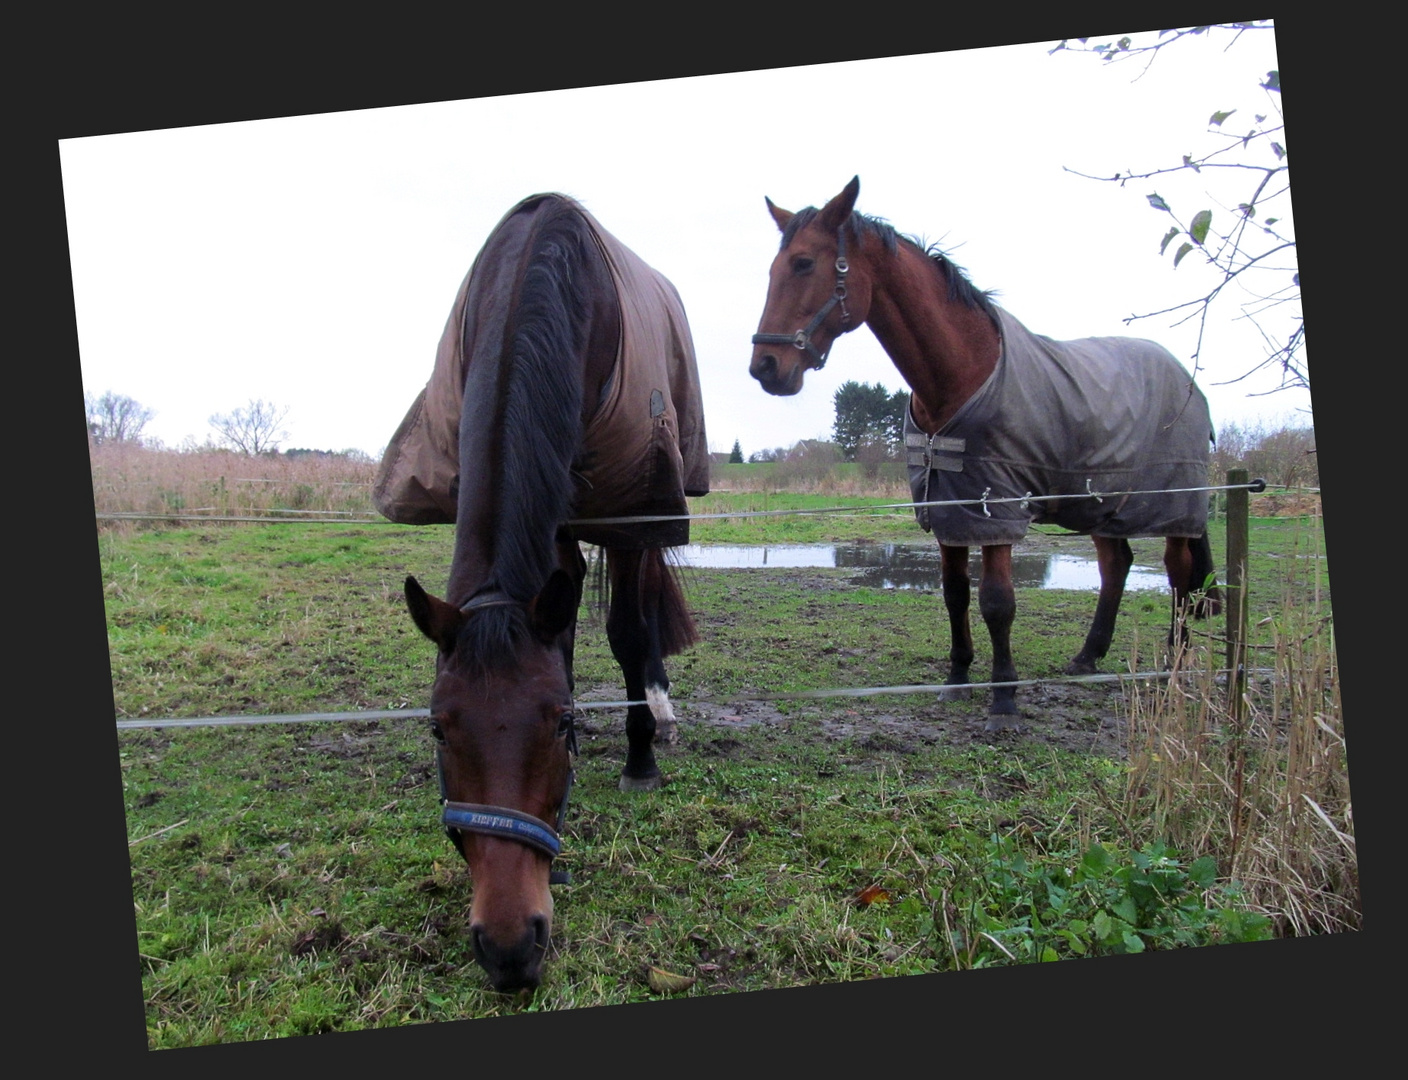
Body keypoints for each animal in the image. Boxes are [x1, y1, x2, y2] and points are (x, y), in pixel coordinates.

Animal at [374, 191, 709, 991]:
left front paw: (638, 761)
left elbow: (626, 632)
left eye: (557, 723)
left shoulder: (629, 505)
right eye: (438, 729)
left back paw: (656, 712)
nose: (509, 947)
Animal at [749, 177, 1222, 732]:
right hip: (1105, 504)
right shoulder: (949, 509)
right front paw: (957, 678)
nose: (765, 367)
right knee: (1118, 565)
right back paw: (1087, 657)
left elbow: (997, 601)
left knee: (1179, 578)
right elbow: (954, 593)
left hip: (1174, 507)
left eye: (805, 263)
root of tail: (1187, 380)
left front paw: (1004, 699)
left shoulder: (996, 508)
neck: (961, 375)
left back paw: (1174, 665)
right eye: (773, 269)